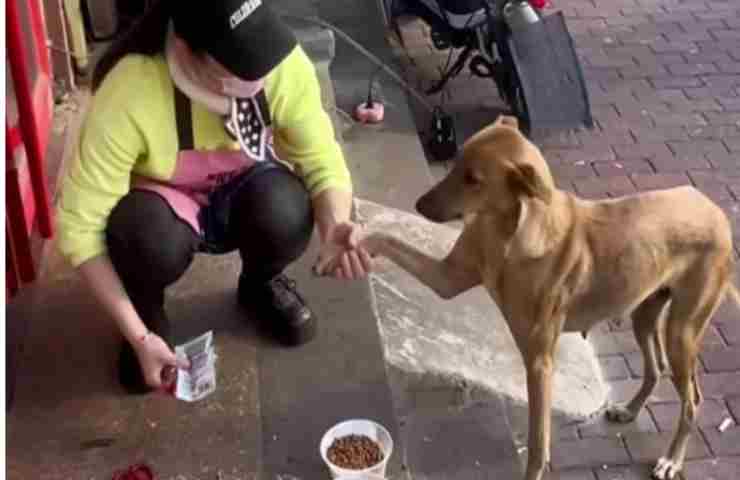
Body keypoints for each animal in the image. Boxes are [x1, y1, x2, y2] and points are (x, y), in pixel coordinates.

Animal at [318, 115, 740, 480]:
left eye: (473, 179)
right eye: (456, 162)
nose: (419, 206)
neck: (507, 230)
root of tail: (717, 212)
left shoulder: (539, 363)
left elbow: (538, 443)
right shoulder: (446, 279)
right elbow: (387, 238)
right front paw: (345, 245)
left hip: (682, 331)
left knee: (693, 399)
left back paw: (672, 460)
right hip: (644, 313)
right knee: (656, 368)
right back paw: (631, 411)